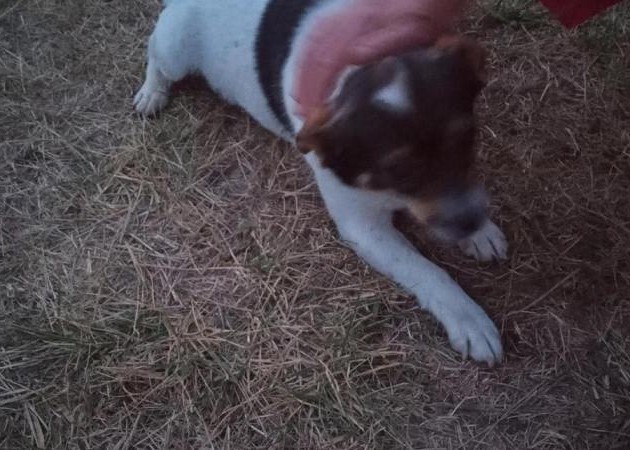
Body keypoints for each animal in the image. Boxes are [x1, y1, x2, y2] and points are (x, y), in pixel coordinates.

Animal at [134, 0, 508, 365]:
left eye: (467, 140)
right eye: (400, 170)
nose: (471, 221)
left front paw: (481, 233)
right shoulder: (362, 227)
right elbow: (427, 271)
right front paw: (468, 318)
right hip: (175, 47)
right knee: (155, 54)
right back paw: (151, 92)